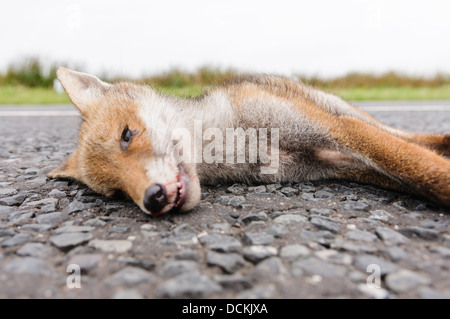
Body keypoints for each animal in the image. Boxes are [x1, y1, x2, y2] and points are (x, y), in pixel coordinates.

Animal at [48, 68, 450, 216]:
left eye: (126, 135)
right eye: (116, 192)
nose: (153, 199)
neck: (238, 142)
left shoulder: (334, 131)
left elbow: (416, 164)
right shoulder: (328, 164)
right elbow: (412, 175)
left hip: (340, 112)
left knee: (400, 134)